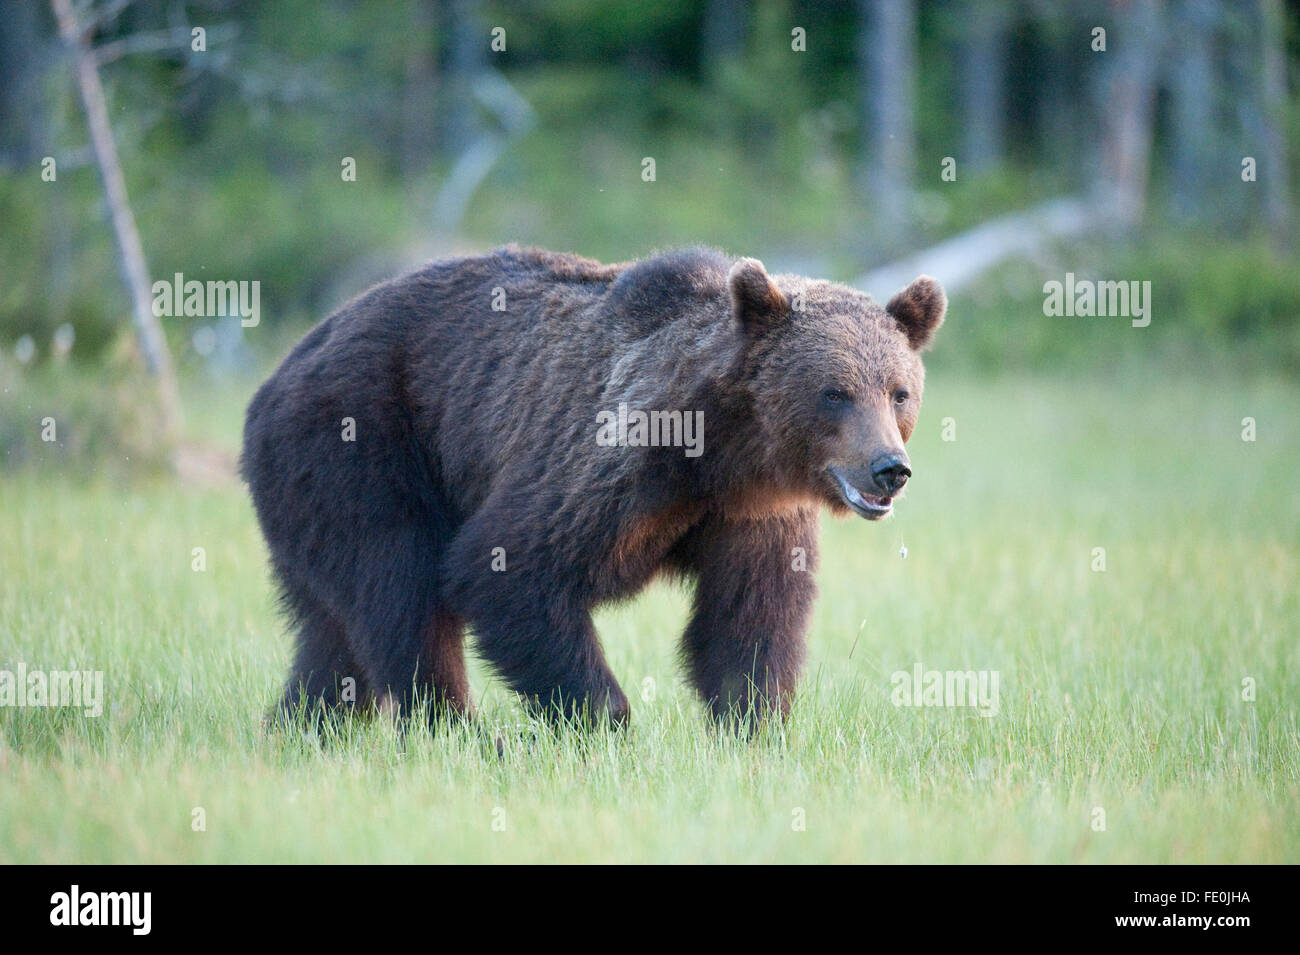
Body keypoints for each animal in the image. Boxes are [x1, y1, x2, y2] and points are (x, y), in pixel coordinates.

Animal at [239, 246, 941, 722]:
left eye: (898, 391)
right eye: (834, 392)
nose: (890, 468)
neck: (721, 453)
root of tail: (278, 373)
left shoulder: (751, 515)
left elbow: (749, 618)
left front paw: (752, 723)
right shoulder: (609, 467)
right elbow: (506, 566)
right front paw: (606, 721)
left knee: (333, 632)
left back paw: (303, 726)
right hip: (358, 446)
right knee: (398, 590)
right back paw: (462, 730)